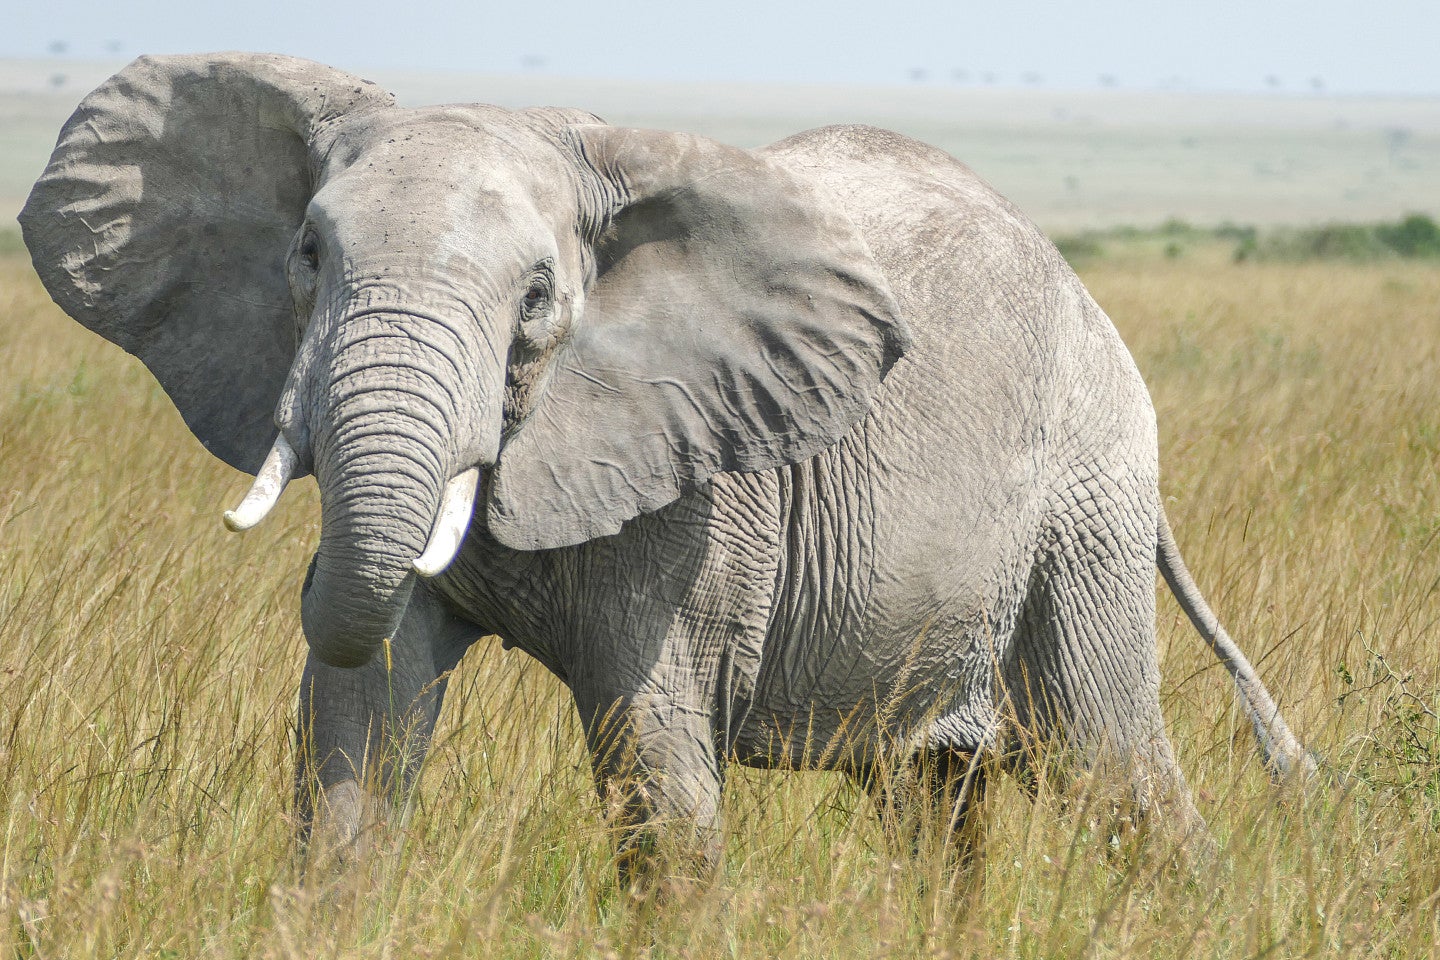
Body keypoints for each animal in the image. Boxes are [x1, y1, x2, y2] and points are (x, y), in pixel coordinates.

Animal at [19, 50, 1319, 880]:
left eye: (538, 297)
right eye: (304, 253)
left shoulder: (706, 492)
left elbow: (656, 774)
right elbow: (355, 723)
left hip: (1084, 500)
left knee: (1113, 772)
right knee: (928, 802)